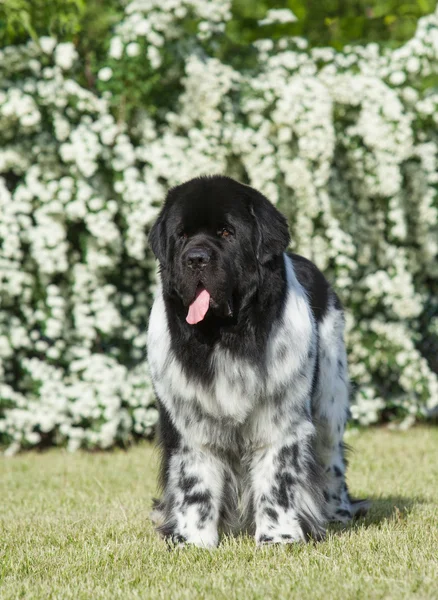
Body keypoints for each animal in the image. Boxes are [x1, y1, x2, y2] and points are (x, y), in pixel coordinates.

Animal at [146, 175, 366, 548]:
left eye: (226, 233)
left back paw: (337, 513)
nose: (195, 259)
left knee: (331, 459)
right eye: (182, 236)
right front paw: (194, 540)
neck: (225, 337)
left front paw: (279, 538)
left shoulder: (281, 416)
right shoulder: (189, 418)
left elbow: (278, 478)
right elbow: (194, 480)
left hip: (329, 401)